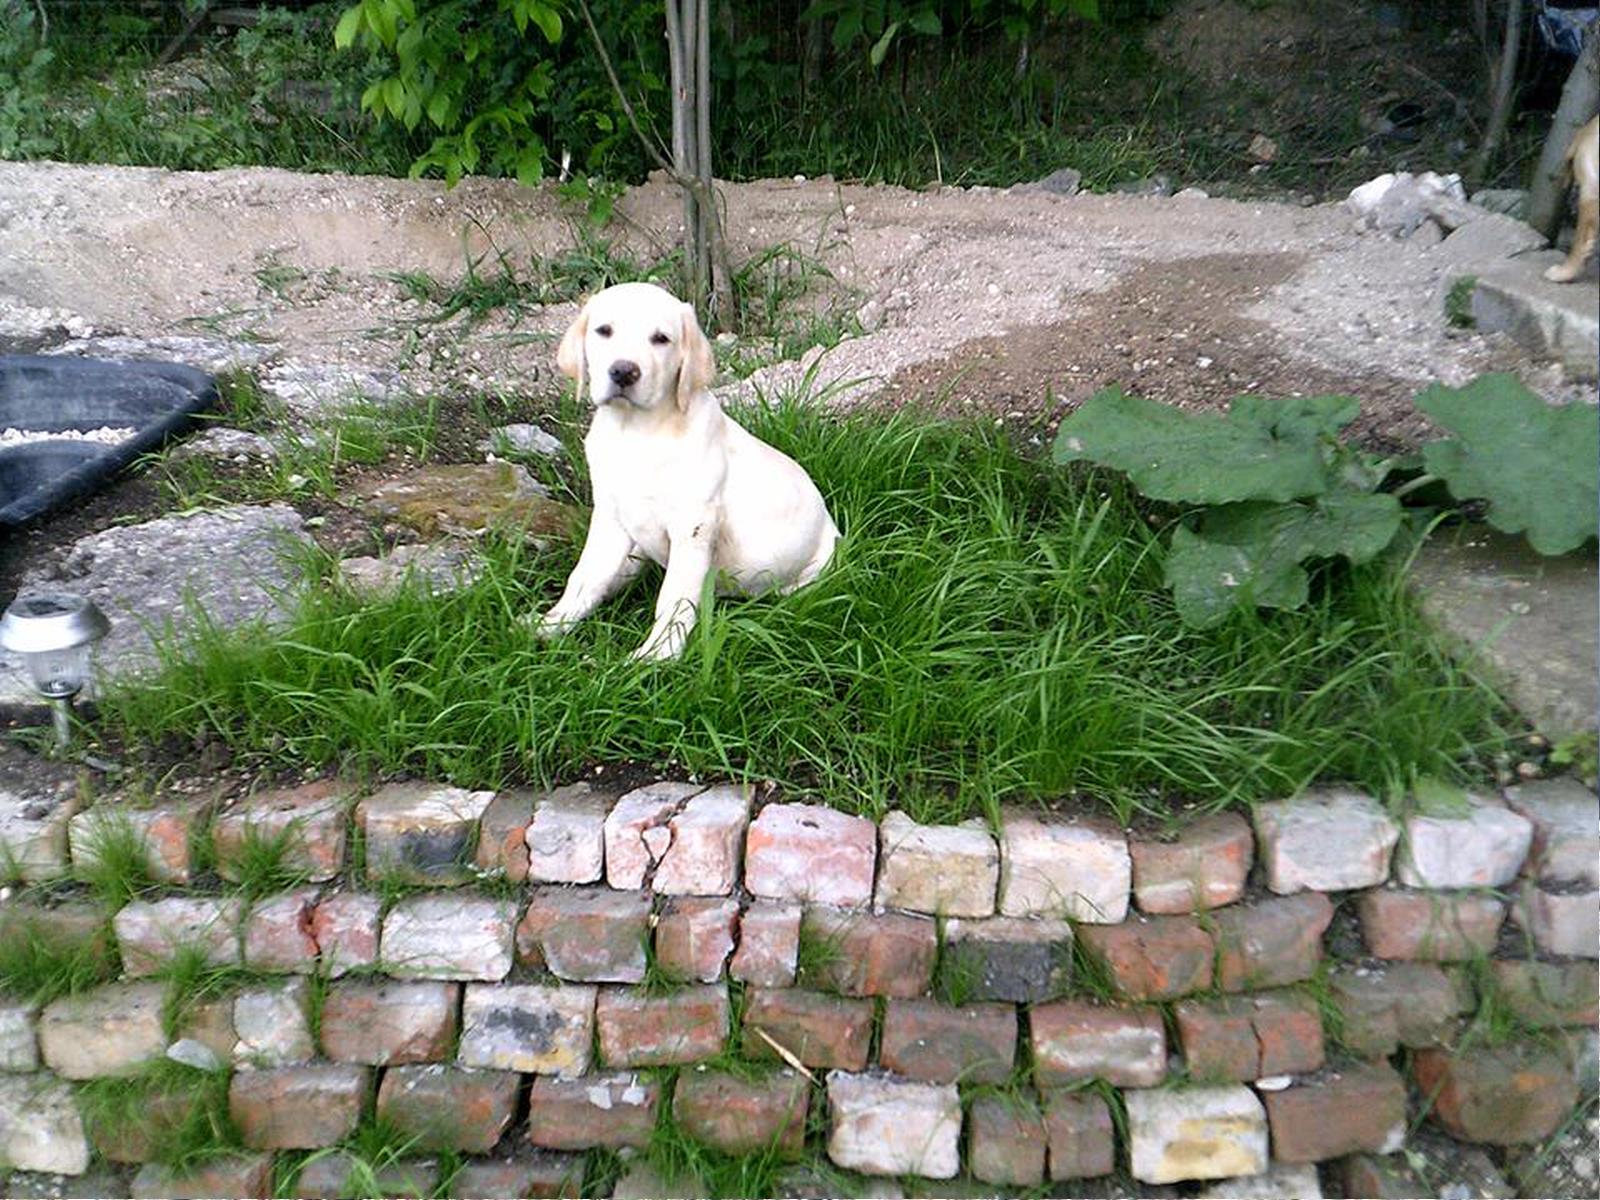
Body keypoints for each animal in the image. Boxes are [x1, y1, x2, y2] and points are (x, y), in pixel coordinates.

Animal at [536, 282, 839, 660]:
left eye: (661, 339)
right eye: (604, 331)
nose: (623, 371)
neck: (636, 432)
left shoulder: (694, 527)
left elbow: (674, 597)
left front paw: (656, 656)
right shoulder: (610, 516)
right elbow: (587, 574)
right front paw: (552, 624)